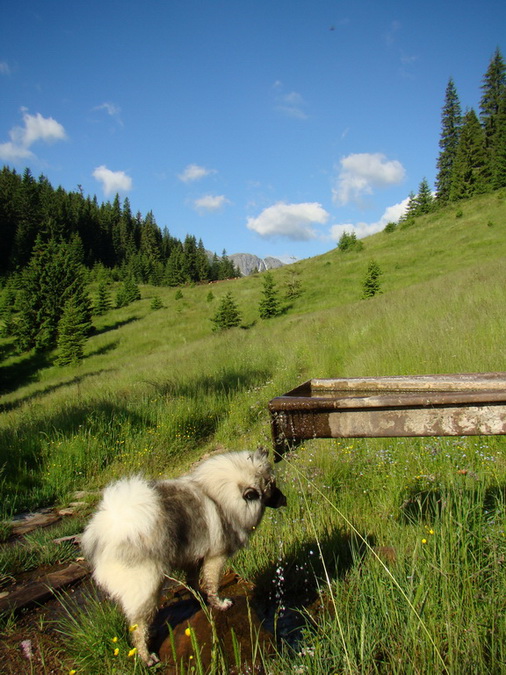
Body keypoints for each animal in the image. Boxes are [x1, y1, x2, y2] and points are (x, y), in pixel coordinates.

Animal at [79, 448, 284, 664]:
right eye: (271, 488)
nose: (284, 498)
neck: (218, 497)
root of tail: (109, 530)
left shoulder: (193, 556)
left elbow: (193, 581)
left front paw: (200, 598)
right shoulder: (216, 558)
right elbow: (213, 584)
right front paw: (219, 603)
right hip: (147, 586)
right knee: (138, 628)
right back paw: (146, 657)